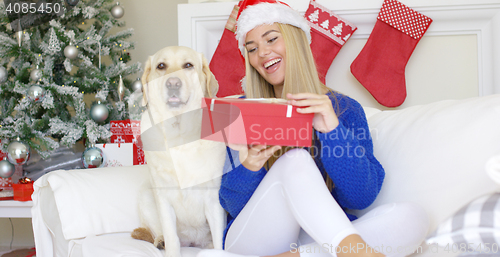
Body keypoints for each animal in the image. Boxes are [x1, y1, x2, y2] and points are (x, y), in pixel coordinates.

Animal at [133, 46, 227, 256]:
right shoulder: (163, 199)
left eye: (188, 65)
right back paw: (160, 241)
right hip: (145, 194)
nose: (173, 84)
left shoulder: (213, 199)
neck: (179, 135)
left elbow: (219, 241)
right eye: (161, 66)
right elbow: (172, 239)